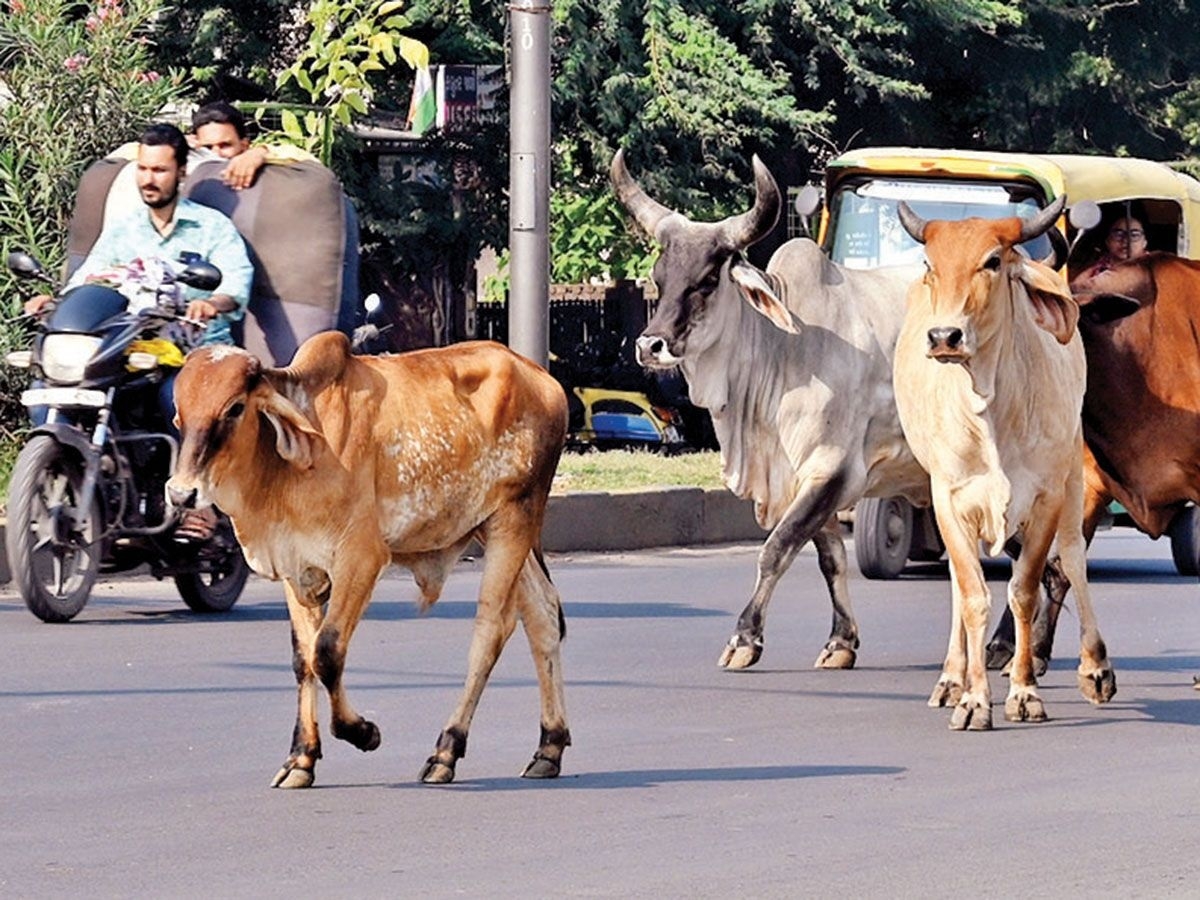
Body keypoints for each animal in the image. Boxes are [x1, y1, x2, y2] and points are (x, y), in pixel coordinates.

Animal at [165, 333, 571, 787]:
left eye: (235, 407)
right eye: (179, 413)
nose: (181, 493)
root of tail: (540, 377)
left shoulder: (361, 558)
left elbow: (327, 652)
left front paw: (363, 732)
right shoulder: (296, 567)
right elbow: (303, 659)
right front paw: (301, 759)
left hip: (513, 520)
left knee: (491, 630)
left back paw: (446, 750)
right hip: (494, 526)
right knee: (542, 615)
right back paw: (549, 747)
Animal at [611, 148, 931, 671]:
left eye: (707, 280)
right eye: (659, 278)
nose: (650, 345)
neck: (786, 348)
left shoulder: (832, 470)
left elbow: (776, 548)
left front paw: (744, 639)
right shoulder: (803, 478)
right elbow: (829, 557)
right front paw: (841, 643)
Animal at [892, 197, 1117, 730]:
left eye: (993, 261)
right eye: (930, 264)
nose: (944, 335)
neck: (989, 406)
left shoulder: (1046, 497)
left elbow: (1026, 589)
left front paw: (1024, 691)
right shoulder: (948, 497)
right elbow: (973, 594)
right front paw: (973, 697)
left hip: (1074, 469)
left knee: (1072, 557)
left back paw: (1095, 668)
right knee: (960, 583)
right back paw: (950, 679)